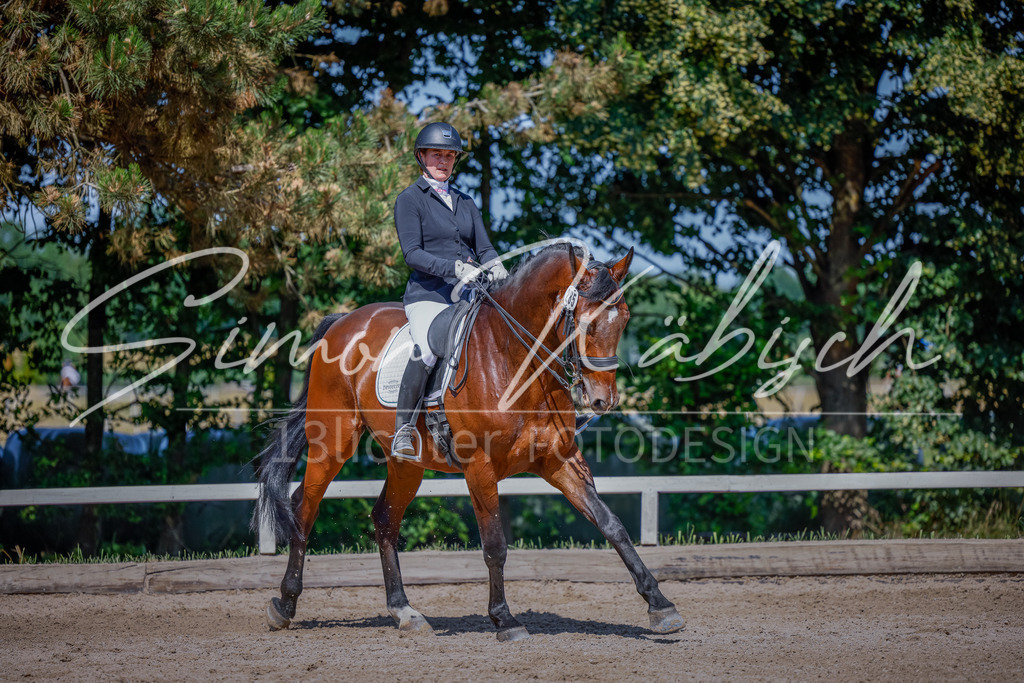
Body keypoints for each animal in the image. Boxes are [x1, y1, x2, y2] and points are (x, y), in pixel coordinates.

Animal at [253, 240, 685, 640]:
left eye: (624, 318)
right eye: (582, 321)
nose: (602, 400)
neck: (514, 359)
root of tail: (344, 322)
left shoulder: (559, 461)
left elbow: (612, 525)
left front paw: (661, 606)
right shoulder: (480, 466)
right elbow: (494, 545)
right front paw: (505, 620)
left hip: (406, 463)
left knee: (385, 520)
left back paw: (405, 612)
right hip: (333, 444)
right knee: (303, 509)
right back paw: (284, 605)